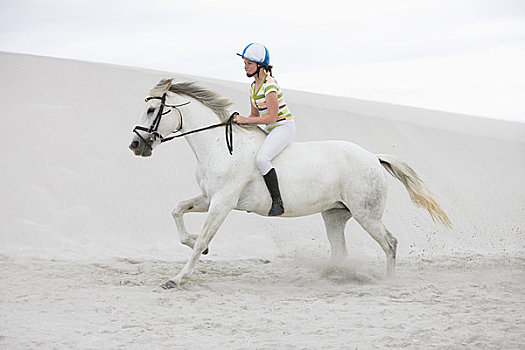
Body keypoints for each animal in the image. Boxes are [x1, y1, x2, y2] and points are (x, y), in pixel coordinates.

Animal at [128, 78, 450, 288]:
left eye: (151, 110)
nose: (135, 145)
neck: (219, 145)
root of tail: (372, 156)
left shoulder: (223, 202)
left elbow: (202, 240)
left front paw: (178, 278)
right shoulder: (209, 198)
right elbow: (178, 211)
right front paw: (193, 245)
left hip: (366, 215)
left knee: (390, 243)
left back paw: (388, 281)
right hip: (335, 214)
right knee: (341, 250)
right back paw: (334, 277)